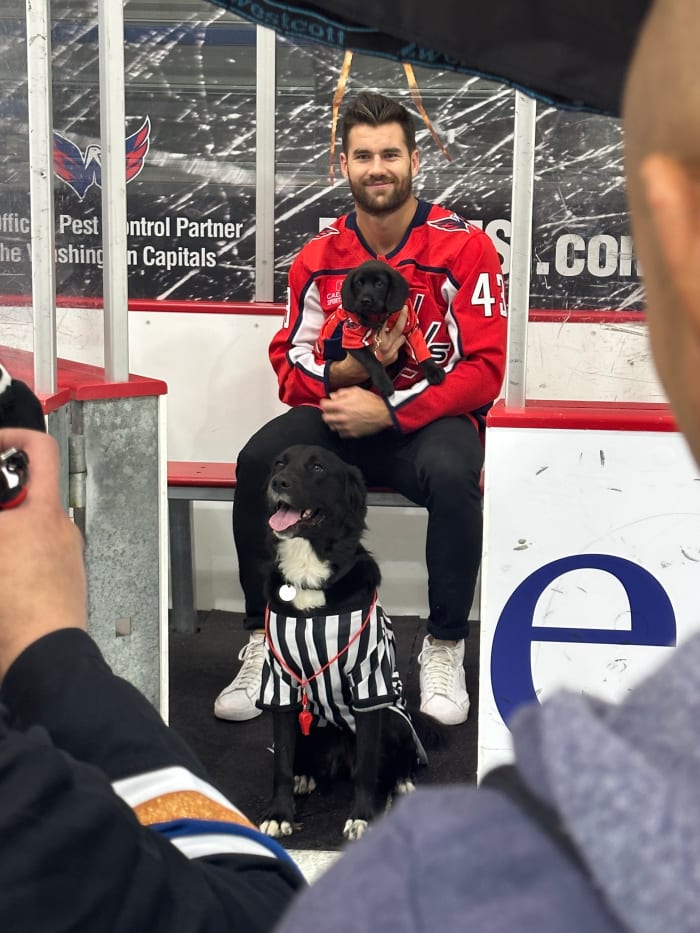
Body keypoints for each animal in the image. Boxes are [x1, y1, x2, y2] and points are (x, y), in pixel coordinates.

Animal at [258, 446, 434, 844]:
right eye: (278, 463)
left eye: (318, 467)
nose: (278, 482)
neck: (308, 574)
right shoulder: (280, 685)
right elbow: (280, 762)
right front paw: (279, 814)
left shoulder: (369, 684)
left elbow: (366, 768)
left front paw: (361, 817)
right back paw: (304, 776)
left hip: (394, 717)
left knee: (395, 759)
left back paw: (402, 782)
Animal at [336, 258, 446, 396]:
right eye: (358, 283)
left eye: (379, 284)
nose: (365, 301)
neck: (378, 319)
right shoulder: (352, 341)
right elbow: (372, 360)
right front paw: (383, 382)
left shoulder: (411, 327)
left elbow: (420, 348)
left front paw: (433, 369)